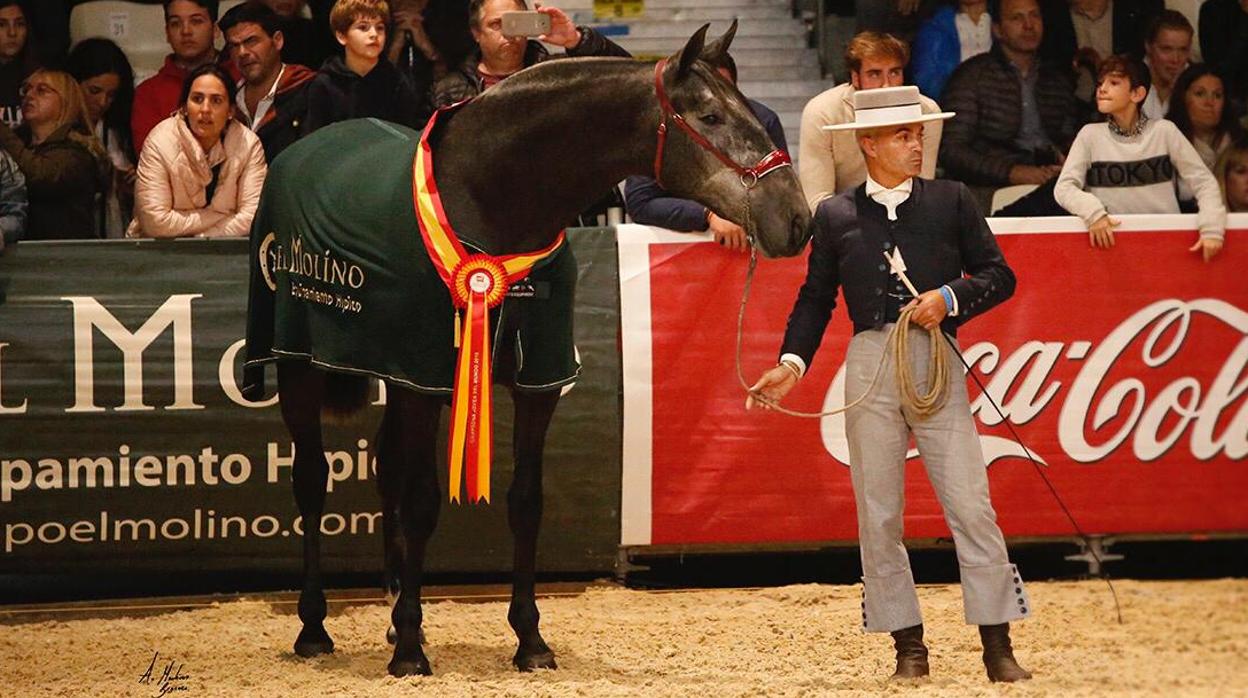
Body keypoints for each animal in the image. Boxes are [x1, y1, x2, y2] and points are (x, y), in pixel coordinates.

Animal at [245, 23, 811, 677]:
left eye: (751, 111)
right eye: (712, 115)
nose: (797, 219)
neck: (487, 198)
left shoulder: (535, 382)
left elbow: (525, 502)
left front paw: (529, 639)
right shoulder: (424, 378)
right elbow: (422, 503)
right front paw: (411, 650)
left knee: (384, 470)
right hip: (298, 365)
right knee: (313, 480)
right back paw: (315, 626)